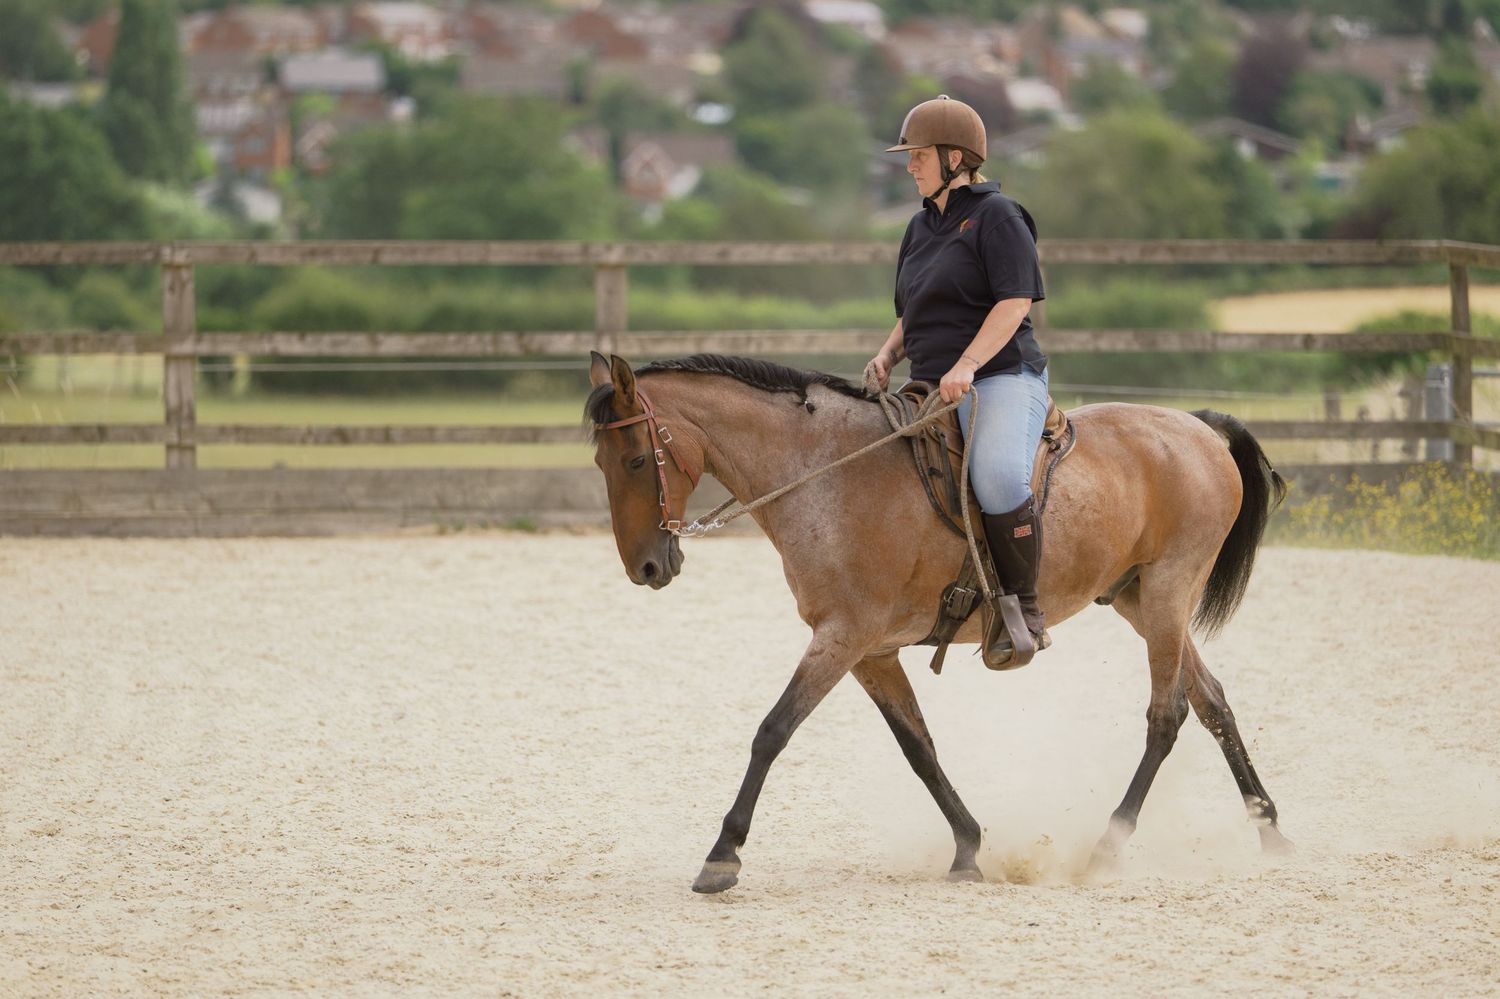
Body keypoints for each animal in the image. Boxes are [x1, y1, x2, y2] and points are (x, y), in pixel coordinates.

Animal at [585, 350, 1292, 894]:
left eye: (635, 461)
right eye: (602, 463)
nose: (645, 567)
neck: (825, 473)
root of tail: (1199, 428)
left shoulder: (842, 637)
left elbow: (772, 732)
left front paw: (722, 856)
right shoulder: (870, 651)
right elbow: (918, 747)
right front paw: (968, 848)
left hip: (1171, 590)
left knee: (1167, 715)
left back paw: (1108, 848)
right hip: (1139, 599)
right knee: (1213, 703)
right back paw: (1271, 832)